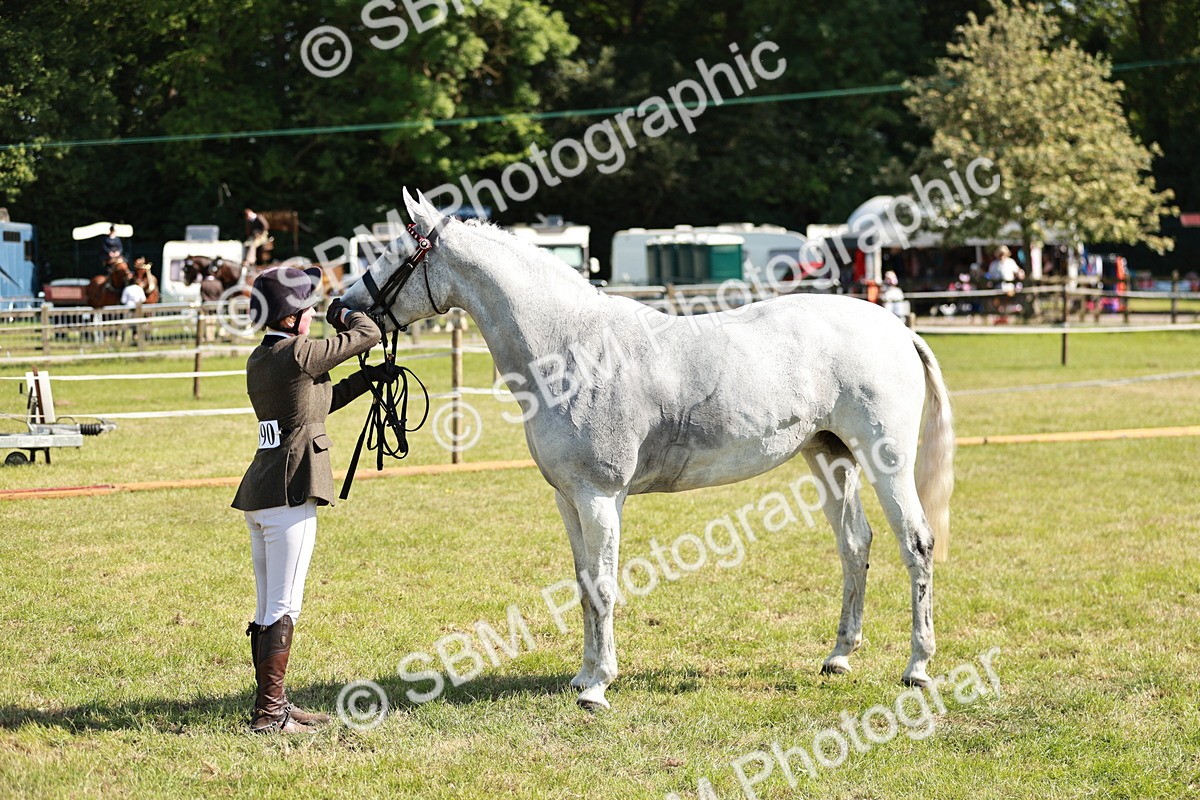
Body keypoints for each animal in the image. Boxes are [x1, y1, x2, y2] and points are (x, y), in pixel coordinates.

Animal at [342, 190, 955, 711]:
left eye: (392, 253)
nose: (340, 309)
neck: (572, 348)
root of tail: (897, 328)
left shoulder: (600, 496)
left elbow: (604, 586)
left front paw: (598, 689)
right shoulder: (569, 499)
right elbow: (584, 586)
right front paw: (584, 676)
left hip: (884, 460)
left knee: (916, 545)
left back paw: (917, 667)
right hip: (829, 457)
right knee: (855, 546)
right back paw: (839, 658)